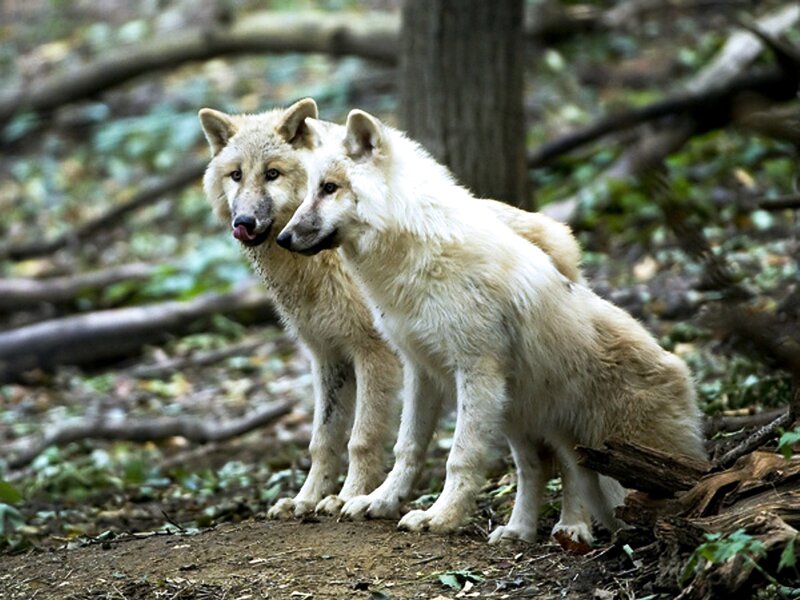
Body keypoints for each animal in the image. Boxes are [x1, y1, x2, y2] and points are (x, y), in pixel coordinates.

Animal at [198, 99, 587, 524]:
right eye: (236, 175)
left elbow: (361, 439)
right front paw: (306, 499)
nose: (243, 222)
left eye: (272, 174)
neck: (317, 270)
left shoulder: (373, 354)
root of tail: (559, 231)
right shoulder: (327, 356)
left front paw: (344, 497)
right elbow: (323, 440)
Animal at [277, 109, 707, 544]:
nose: (282, 237)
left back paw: (573, 529)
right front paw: (380, 502)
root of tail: (686, 376)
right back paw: (519, 530)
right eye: (309, 190)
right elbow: (407, 448)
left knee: (575, 478)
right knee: (537, 468)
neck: (419, 256)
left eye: (329, 188)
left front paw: (441, 517)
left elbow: (460, 458)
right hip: (520, 416)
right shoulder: (420, 369)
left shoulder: (476, 368)